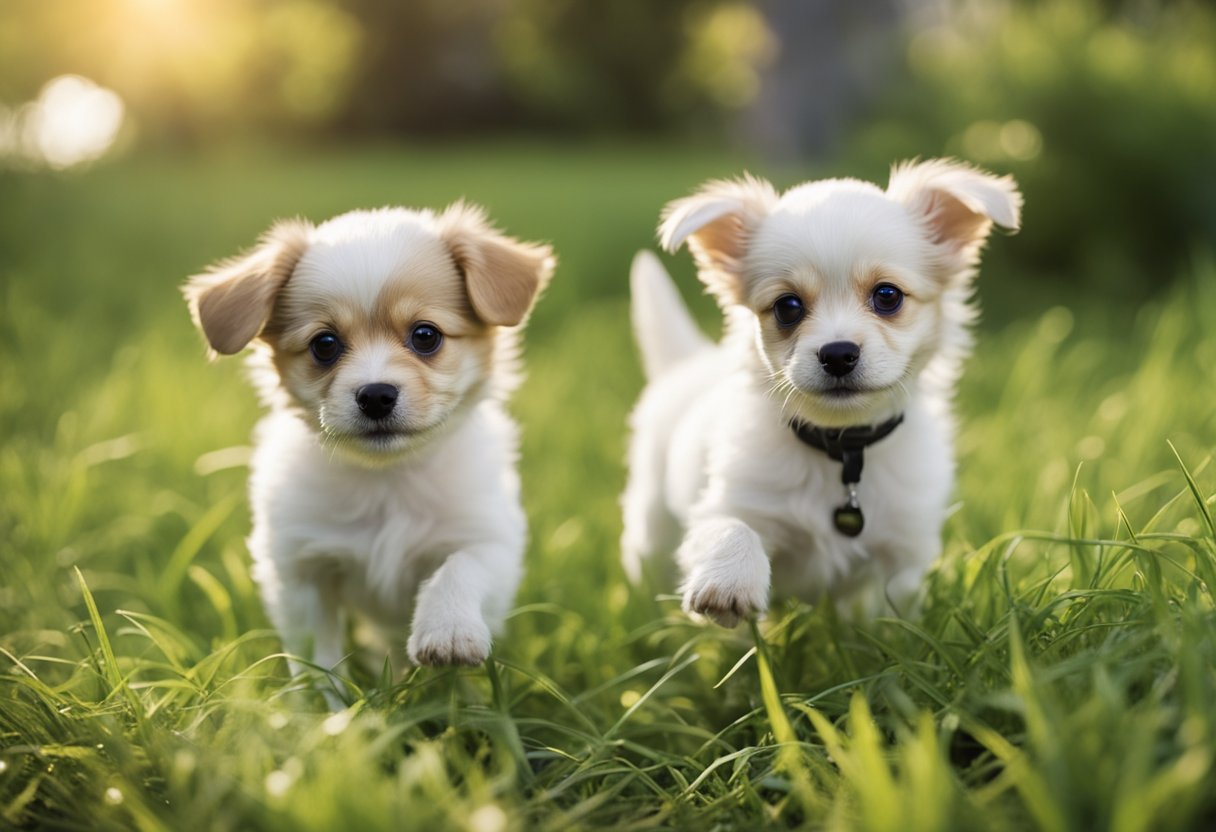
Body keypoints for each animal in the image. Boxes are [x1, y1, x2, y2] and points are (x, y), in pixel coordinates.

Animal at [182, 204, 554, 700]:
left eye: (425, 335)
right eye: (324, 344)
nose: (376, 395)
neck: (387, 479)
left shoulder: (491, 539)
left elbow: (460, 567)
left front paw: (448, 631)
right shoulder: (301, 569)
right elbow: (317, 655)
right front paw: (327, 706)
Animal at [622, 159, 1021, 620]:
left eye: (887, 296)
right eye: (787, 307)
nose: (838, 354)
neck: (841, 449)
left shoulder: (905, 551)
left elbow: (898, 618)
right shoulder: (732, 502)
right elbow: (730, 526)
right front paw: (730, 582)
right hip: (650, 524)